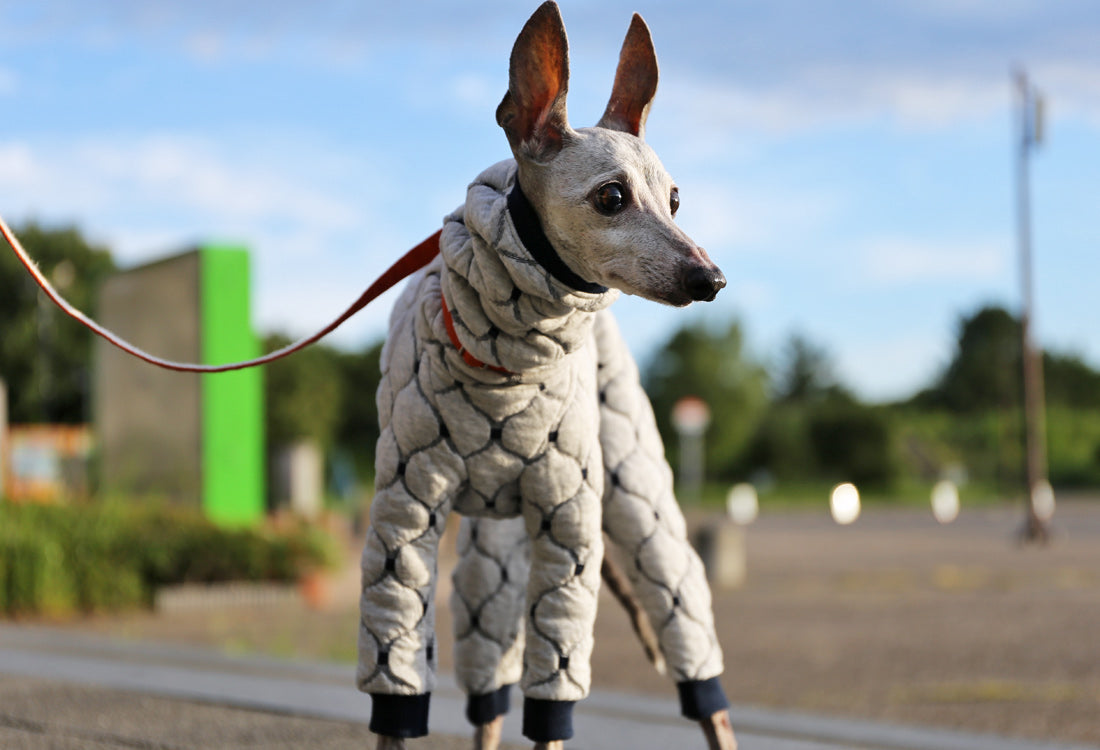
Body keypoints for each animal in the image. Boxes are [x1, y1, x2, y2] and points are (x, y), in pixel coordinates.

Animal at [360, 2, 734, 743]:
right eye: (612, 197)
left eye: (675, 200)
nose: (711, 280)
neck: (502, 364)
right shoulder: (403, 524)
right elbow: (398, 682)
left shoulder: (570, 533)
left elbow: (554, 701)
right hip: (490, 561)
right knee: (488, 686)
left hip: (640, 506)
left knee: (694, 656)